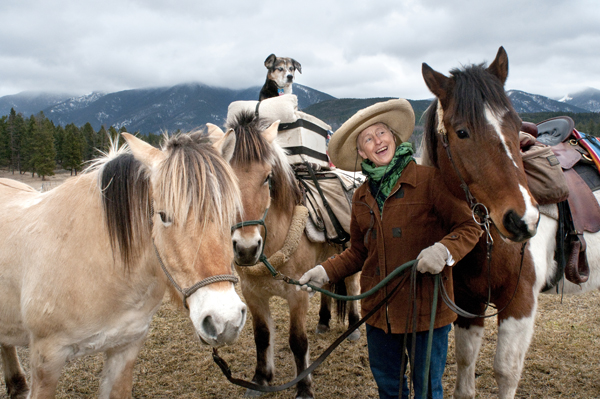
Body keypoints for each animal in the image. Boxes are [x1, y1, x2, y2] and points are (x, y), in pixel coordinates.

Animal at [209, 113, 358, 399]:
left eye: (267, 177)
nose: (246, 248)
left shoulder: (297, 293)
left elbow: (297, 341)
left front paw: (304, 387)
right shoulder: (252, 294)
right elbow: (262, 336)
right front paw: (260, 379)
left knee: (353, 285)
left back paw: (354, 326)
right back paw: (323, 321)